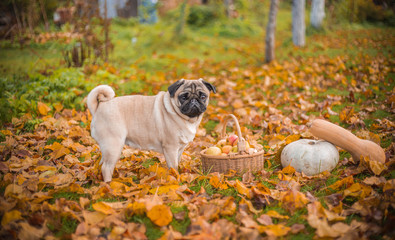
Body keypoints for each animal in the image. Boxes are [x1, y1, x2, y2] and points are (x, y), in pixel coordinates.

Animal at [87, 79, 217, 182]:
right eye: (184, 97)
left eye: (203, 96)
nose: (194, 101)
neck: (187, 119)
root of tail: (99, 108)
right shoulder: (171, 148)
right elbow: (174, 166)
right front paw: (175, 178)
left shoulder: (179, 149)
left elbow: (177, 163)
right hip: (114, 145)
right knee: (106, 167)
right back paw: (109, 185)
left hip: (107, 147)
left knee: (101, 164)